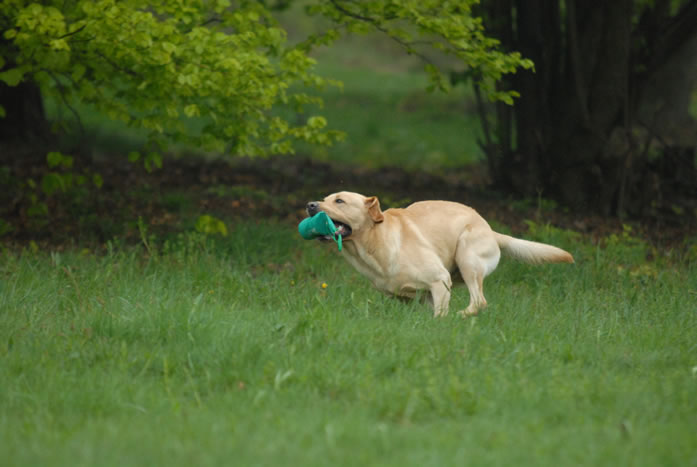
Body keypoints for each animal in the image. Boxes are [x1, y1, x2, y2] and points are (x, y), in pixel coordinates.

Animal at [306, 191, 574, 317]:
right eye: (324, 198)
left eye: (339, 201)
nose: (310, 205)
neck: (373, 242)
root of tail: (491, 229)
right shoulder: (415, 295)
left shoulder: (439, 280)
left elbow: (439, 315)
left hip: (467, 257)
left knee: (479, 301)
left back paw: (461, 315)